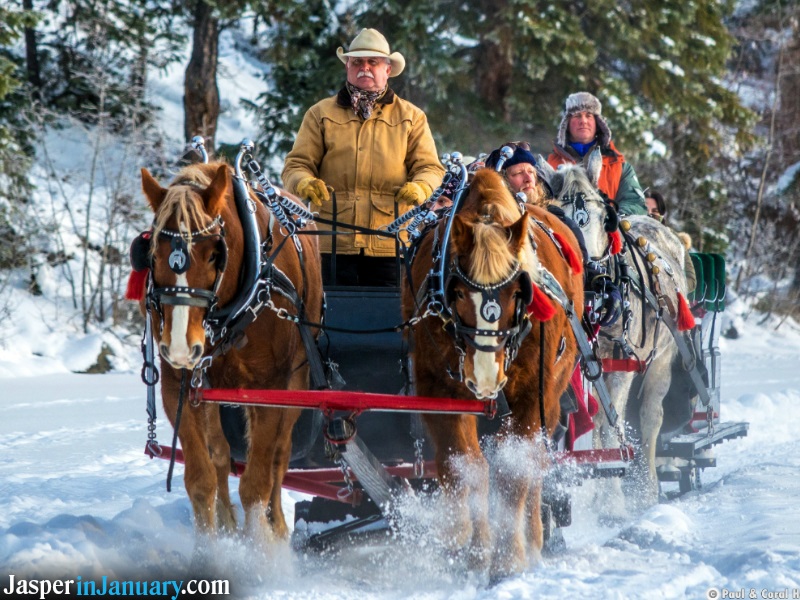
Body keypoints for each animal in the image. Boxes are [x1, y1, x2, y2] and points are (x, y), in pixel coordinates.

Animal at [139, 162, 324, 548]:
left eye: (213, 254)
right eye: (153, 255)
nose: (181, 348)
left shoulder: (270, 388)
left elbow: (257, 482)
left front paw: (263, 548)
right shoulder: (178, 386)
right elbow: (201, 478)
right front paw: (212, 545)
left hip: (297, 381)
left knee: (279, 456)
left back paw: (277, 523)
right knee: (222, 456)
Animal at [404, 166, 584, 580]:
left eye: (518, 294)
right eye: (456, 293)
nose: (485, 378)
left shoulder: (531, 395)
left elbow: (514, 470)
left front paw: (509, 558)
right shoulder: (439, 389)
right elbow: (465, 466)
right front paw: (468, 546)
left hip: (552, 394)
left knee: (535, 463)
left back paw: (534, 537)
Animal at [540, 155, 696, 516]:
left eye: (604, 219)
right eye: (557, 218)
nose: (587, 276)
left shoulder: (622, 364)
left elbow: (610, 423)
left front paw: (612, 501)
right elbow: (593, 421)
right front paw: (600, 488)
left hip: (661, 358)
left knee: (651, 417)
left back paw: (647, 487)